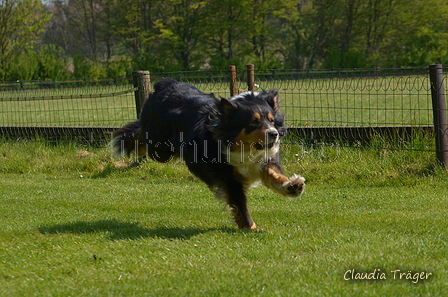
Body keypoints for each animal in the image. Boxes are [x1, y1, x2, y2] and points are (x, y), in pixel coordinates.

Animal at [110, 78, 304, 229]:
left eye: (271, 120)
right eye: (253, 122)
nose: (274, 134)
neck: (243, 148)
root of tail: (165, 83)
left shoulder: (264, 161)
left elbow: (276, 176)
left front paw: (292, 186)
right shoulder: (228, 177)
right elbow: (240, 204)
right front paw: (251, 227)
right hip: (160, 149)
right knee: (142, 137)